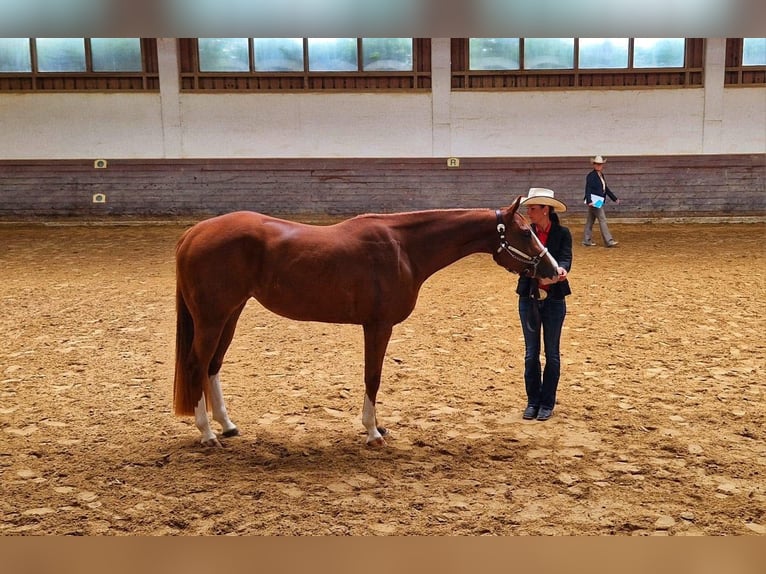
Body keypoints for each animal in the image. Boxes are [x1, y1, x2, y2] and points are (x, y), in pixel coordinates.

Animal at [173, 195, 559, 447]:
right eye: (526, 232)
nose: (554, 271)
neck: (404, 248)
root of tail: (193, 233)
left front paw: (378, 427)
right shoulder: (378, 326)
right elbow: (373, 376)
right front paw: (373, 432)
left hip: (230, 313)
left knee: (213, 365)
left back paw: (227, 426)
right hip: (212, 318)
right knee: (196, 364)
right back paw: (207, 434)